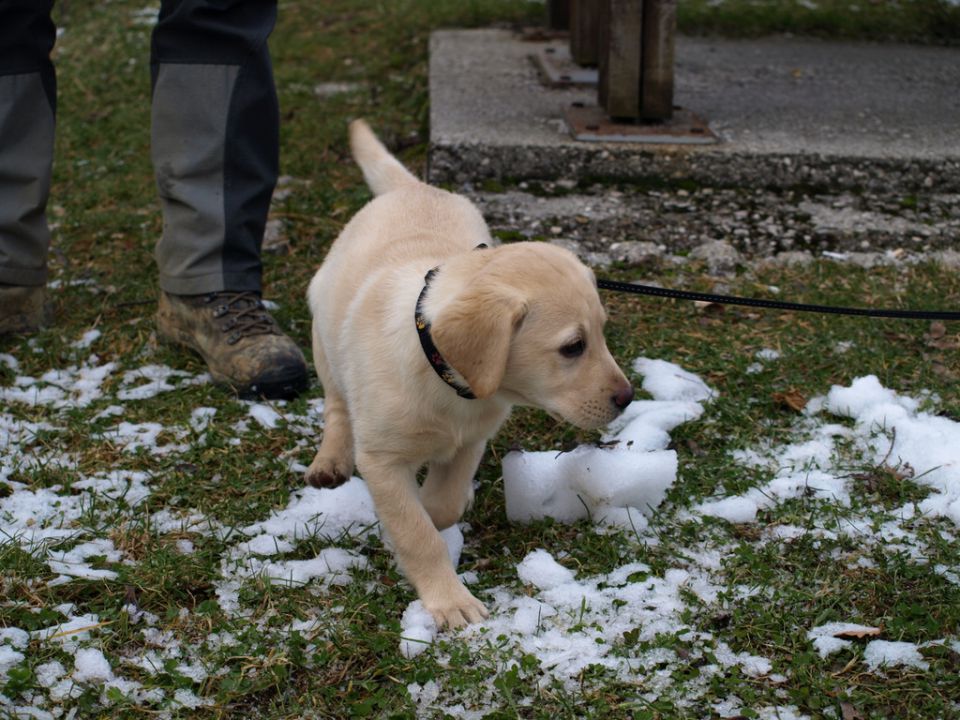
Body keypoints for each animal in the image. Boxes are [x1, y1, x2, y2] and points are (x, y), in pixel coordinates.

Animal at [305, 120, 634, 628]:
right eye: (573, 347)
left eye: (601, 333)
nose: (628, 397)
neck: (446, 380)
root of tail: (412, 187)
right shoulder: (381, 458)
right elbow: (417, 532)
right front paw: (449, 601)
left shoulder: (472, 438)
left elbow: (438, 504)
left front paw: (443, 506)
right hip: (323, 336)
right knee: (337, 406)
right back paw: (330, 458)